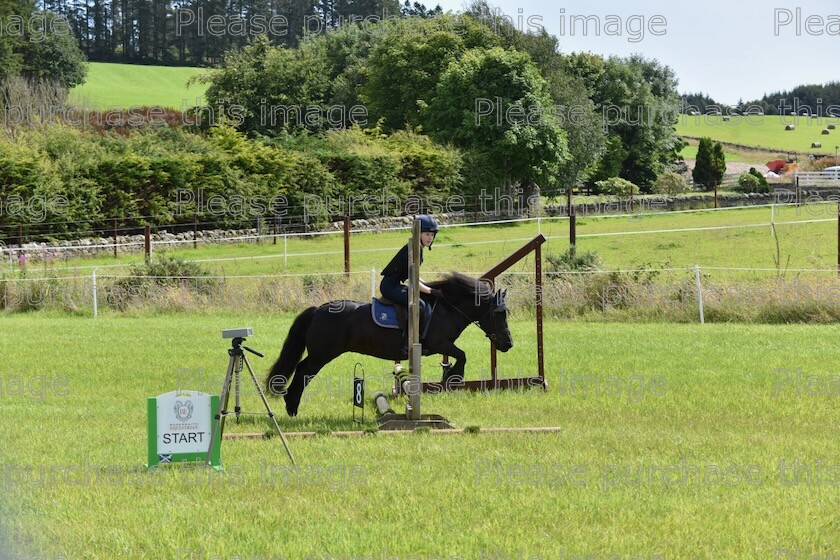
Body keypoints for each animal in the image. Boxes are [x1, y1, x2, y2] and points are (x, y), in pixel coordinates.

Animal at [266, 272, 512, 416]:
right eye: (499, 314)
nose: (508, 343)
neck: (447, 309)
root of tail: (318, 309)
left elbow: (459, 355)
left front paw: (448, 375)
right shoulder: (439, 343)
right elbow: (462, 355)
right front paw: (454, 377)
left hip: (321, 353)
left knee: (302, 369)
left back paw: (290, 405)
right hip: (323, 354)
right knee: (304, 371)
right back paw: (291, 406)